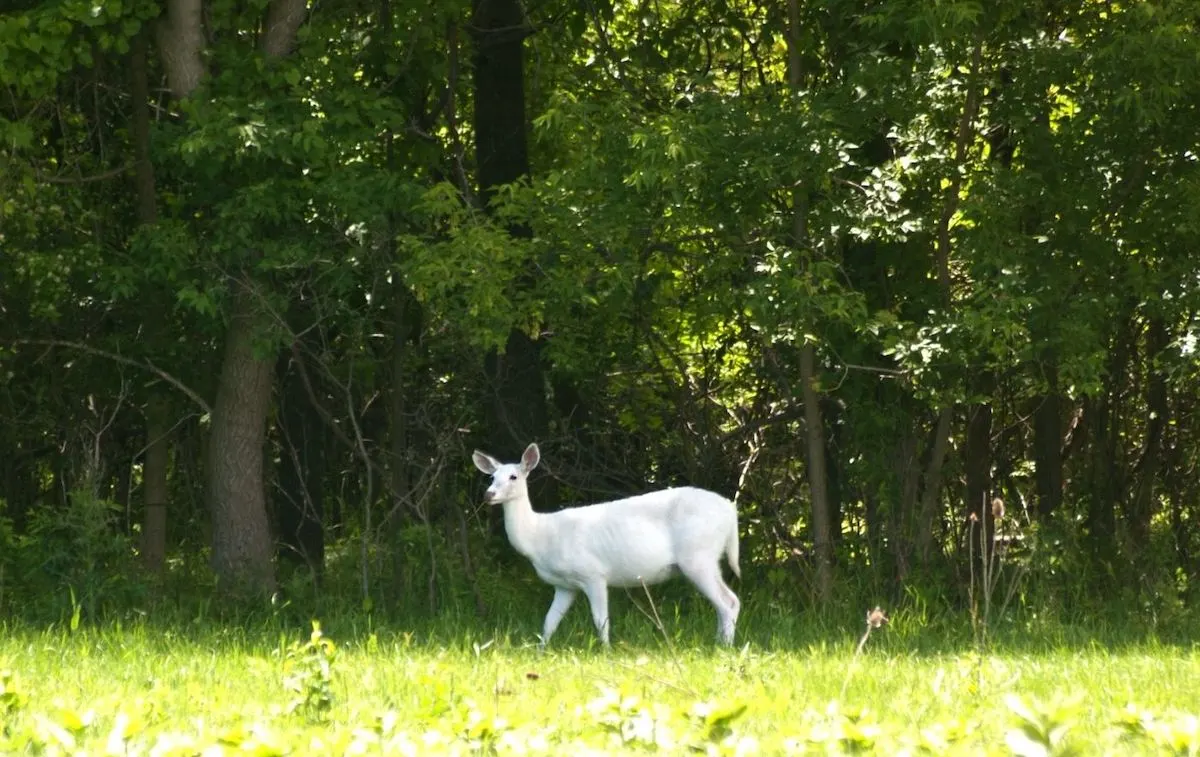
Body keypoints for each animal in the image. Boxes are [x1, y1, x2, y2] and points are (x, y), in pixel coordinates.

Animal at [470, 441, 739, 647]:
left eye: (513, 476)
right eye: (492, 477)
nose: (488, 494)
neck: (540, 537)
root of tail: (730, 510)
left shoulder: (593, 574)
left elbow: (601, 620)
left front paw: (606, 651)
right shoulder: (564, 585)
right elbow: (548, 623)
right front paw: (539, 651)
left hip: (698, 555)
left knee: (729, 602)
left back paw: (723, 647)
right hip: (704, 557)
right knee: (724, 603)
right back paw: (718, 642)